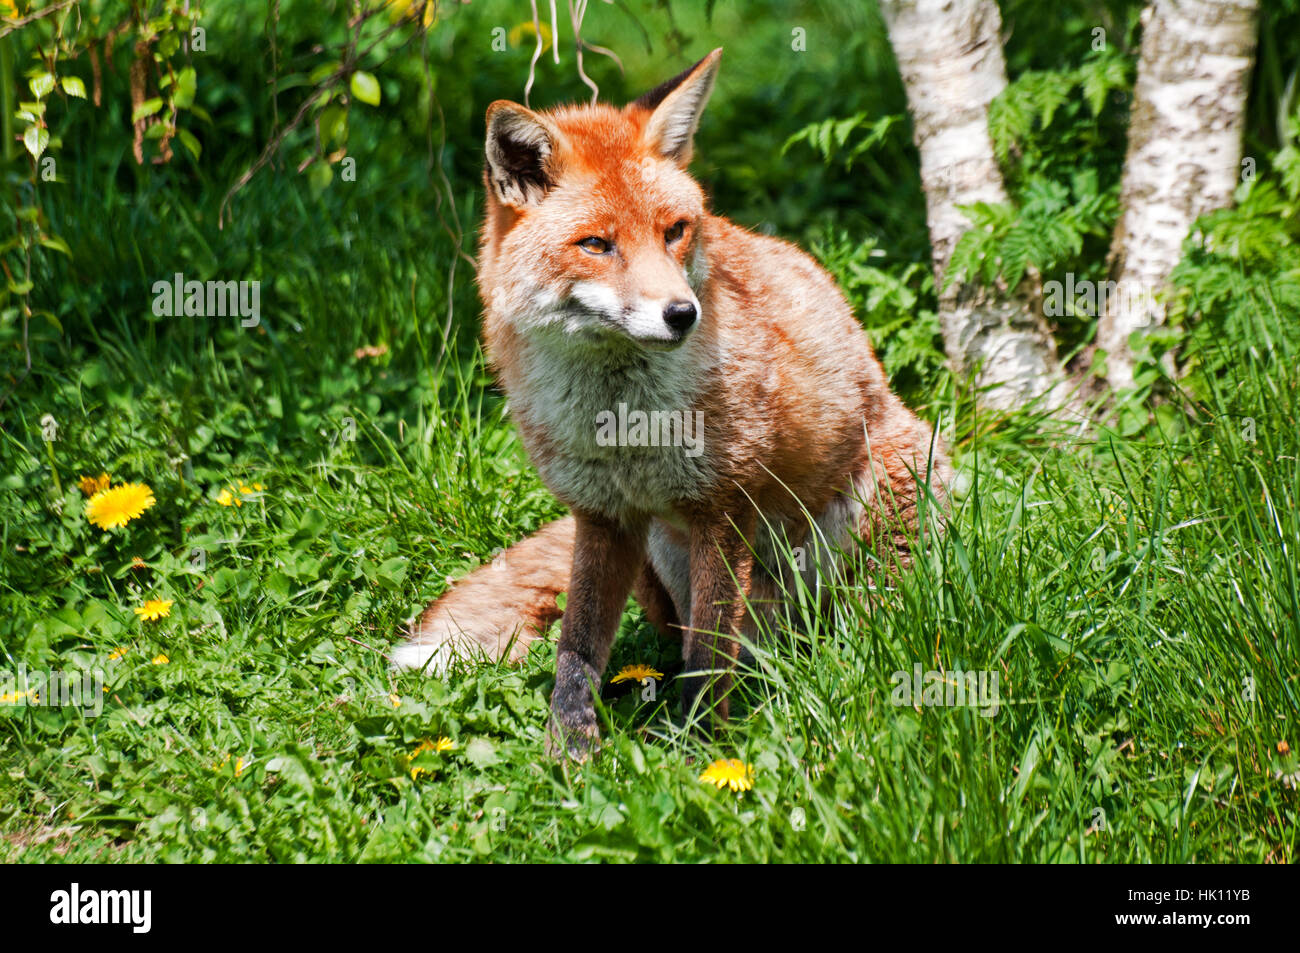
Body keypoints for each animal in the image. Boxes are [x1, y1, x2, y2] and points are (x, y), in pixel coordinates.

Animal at [391, 49, 952, 759]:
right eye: (596, 244)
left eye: (675, 231)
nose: (683, 314)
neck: (621, 424)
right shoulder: (603, 517)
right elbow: (578, 646)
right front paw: (569, 749)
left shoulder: (724, 507)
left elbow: (707, 652)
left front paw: (701, 748)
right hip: (662, 551)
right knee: (718, 641)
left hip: (885, 508)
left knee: (856, 619)